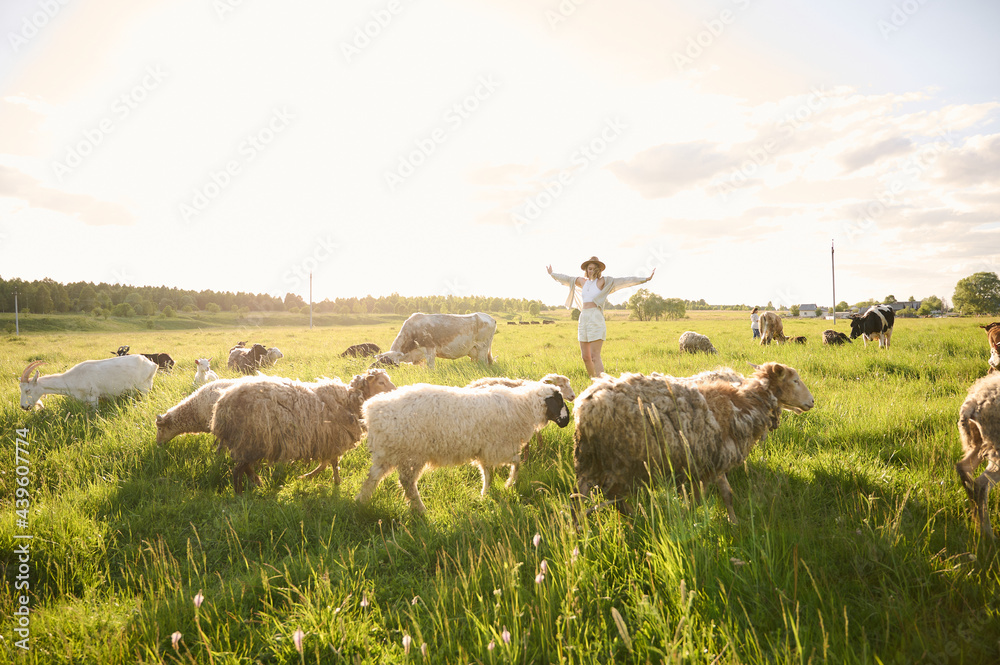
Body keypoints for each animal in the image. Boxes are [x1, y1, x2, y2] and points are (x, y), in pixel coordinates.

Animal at [19, 356, 157, 410]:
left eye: (28, 390)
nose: (23, 407)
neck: (73, 378)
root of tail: (152, 364)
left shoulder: (93, 397)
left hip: (144, 388)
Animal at [211, 369, 396, 494]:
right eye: (381, 382)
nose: (395, 392)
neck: (348, 401)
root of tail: (221, 406)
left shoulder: (327, 441)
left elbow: (326, 463)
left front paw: (307, 477)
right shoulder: (332, 439)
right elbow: (332, 463)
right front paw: (335, 481)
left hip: (251, 443)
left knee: (245, 466)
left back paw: (257, 482)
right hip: (251, 439)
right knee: (238, 469)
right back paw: (239, 494)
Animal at [356, 381, 571, 514]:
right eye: (559, 400)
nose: (567, 421)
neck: (523, 407)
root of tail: (371, 410)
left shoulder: (486, 450)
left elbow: (488, 473)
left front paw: (485, 494)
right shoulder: (499, 447)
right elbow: (517, 464)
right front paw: (509, 484)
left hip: (386, 453)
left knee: (372, 478)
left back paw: (361, 502)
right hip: (411, 454)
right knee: (407, 483)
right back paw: (421, 509)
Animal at [573, 362, 814, 523]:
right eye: (795, 380)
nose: (812, 401)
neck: (743, 404)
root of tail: (585, 404)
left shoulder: (711, 461)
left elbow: (723, 494)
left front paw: (732, 521)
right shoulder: (712, 459)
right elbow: (708, 497)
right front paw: (690, 517)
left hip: (595, 457)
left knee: (589, 493)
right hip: (619, 459)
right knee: (605, 495)